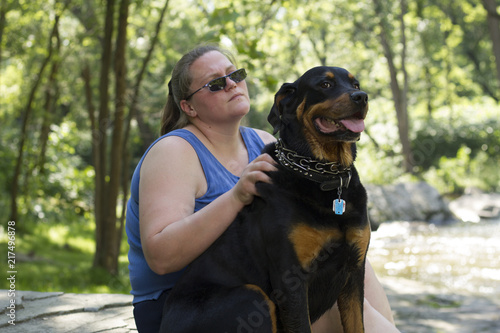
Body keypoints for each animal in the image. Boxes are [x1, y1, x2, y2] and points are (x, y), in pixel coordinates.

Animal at [161, 66, 372, 330]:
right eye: (325, 84)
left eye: (356, 84)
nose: (362, 97)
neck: (325, 176)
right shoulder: (291, 279)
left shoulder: (354, 271)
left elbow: (357, 324)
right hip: (251, 295)